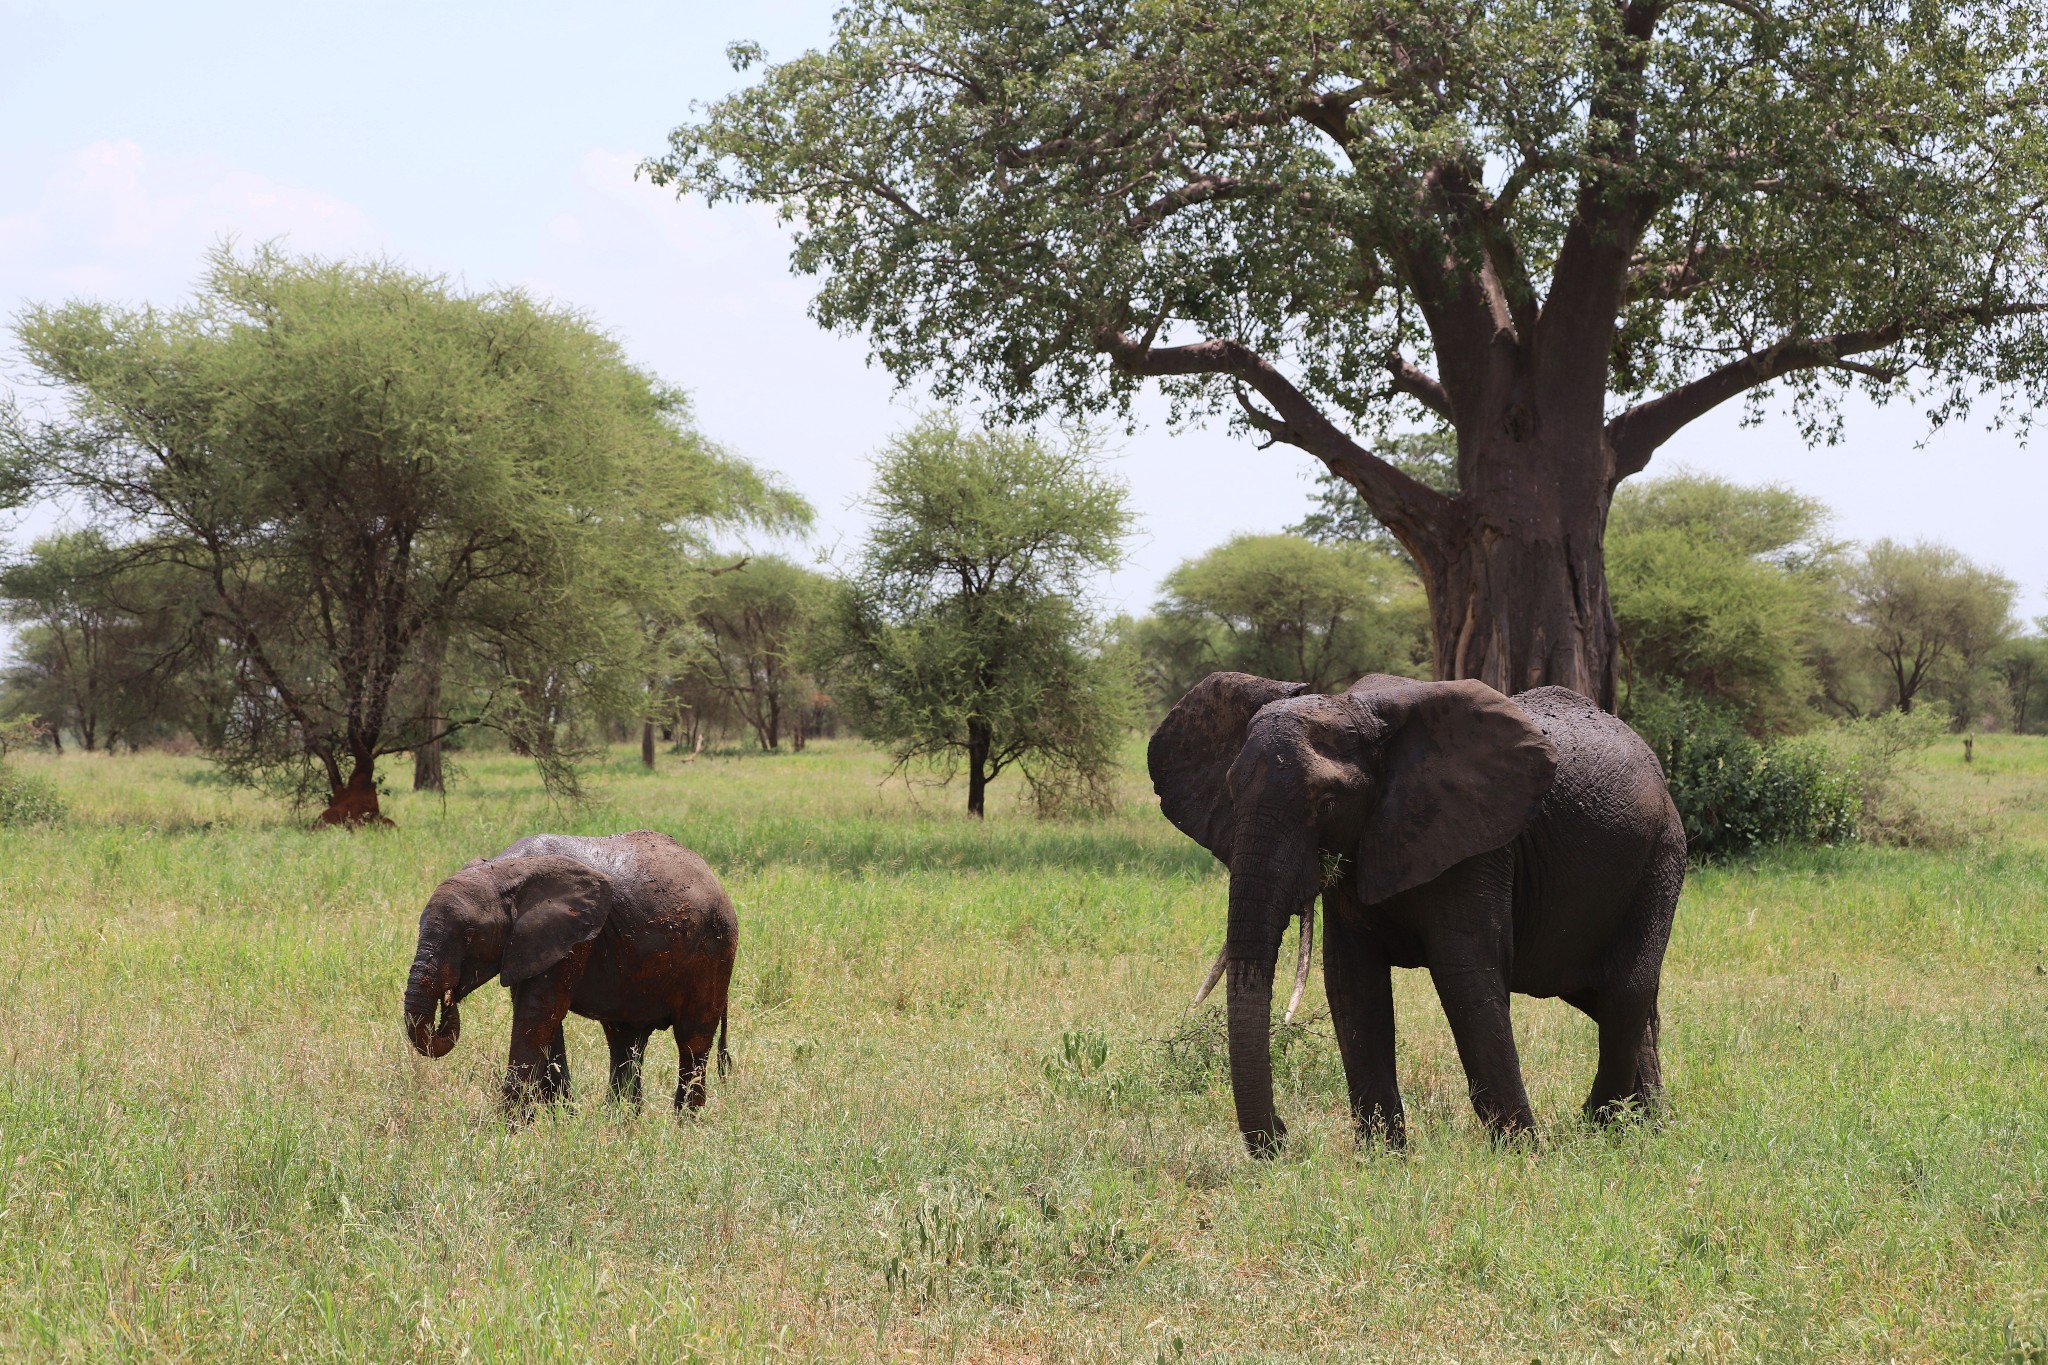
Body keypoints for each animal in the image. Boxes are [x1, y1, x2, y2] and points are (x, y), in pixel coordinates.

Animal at [401, 826, 737, 1113]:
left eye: (470, 934)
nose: (449, 999)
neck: (505, 870)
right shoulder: (531, 943)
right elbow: (542, 1019)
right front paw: (558, 1120)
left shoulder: (574, 937)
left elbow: (537, 1014)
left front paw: (508, 1130)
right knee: (625, 1040)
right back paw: (620, 1123)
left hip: (713, 950)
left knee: (692, 1040)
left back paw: (684, 1125)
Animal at [1155, 671, 1679, 1154]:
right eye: (1230, 794)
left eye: (1327, 802)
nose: (1283, 1139)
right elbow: (1352, 982)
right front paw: (1383, 1157)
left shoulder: (1477, 844)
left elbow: (1466, 976)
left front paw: (1522, 1153)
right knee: (1611, 999)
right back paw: (1649, 1125)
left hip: (1660, 857)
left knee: (1623, 992)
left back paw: (1601, 1126)